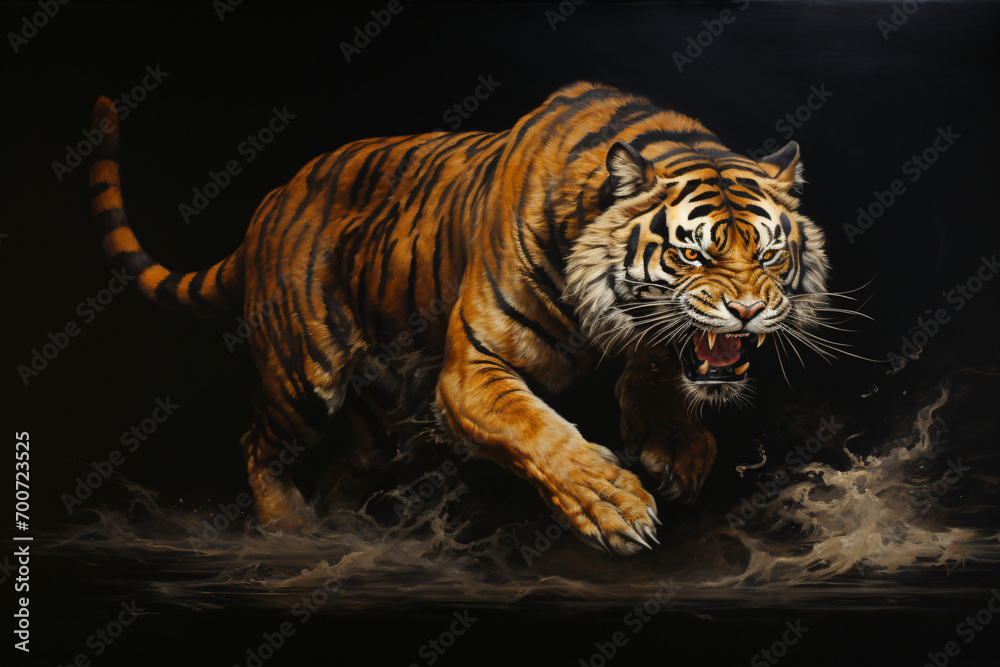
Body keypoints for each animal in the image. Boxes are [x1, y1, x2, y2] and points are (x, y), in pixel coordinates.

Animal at [88, 81, 828, 555]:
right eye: (692, 253)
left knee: (342, 472)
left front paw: (675, 445)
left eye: (769, 252)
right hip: (304, 374)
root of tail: (271, 200)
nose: (747, 311)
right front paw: (611, 503)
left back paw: (348, 535)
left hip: (384, 427)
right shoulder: (471, 370)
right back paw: (289, 530)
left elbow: (659, 360)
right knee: (256, 445)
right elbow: (539, 432)